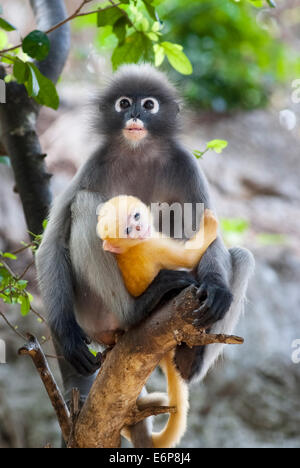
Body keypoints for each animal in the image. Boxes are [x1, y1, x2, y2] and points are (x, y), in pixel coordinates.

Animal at [96, 195, 218, 450]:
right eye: (127, 230)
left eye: (135, 216)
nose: (139, 228)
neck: (130, 248)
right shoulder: (152, 246)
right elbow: (188, 258)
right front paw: (209, 223)